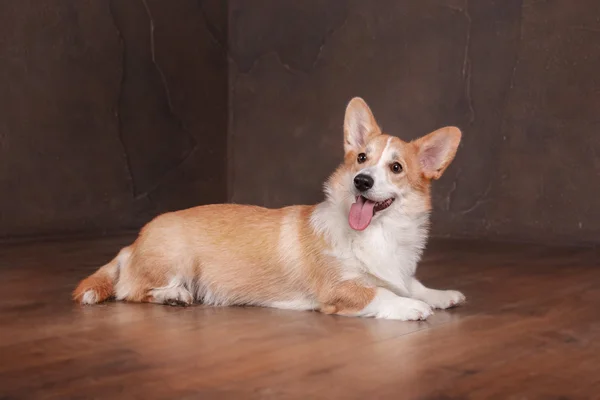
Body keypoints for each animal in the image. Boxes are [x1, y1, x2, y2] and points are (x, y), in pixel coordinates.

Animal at [74, 97, 464, 322]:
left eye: (396, 168)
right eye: (361, 159)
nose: (362, 182)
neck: (378, 233)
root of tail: (132, 245)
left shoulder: (397, 272)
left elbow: (411, 284)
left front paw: (441, 295)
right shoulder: (339, 288)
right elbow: (380, 293)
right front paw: (411, 308)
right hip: (176, 260)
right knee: (132, 291)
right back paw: (175, 295)